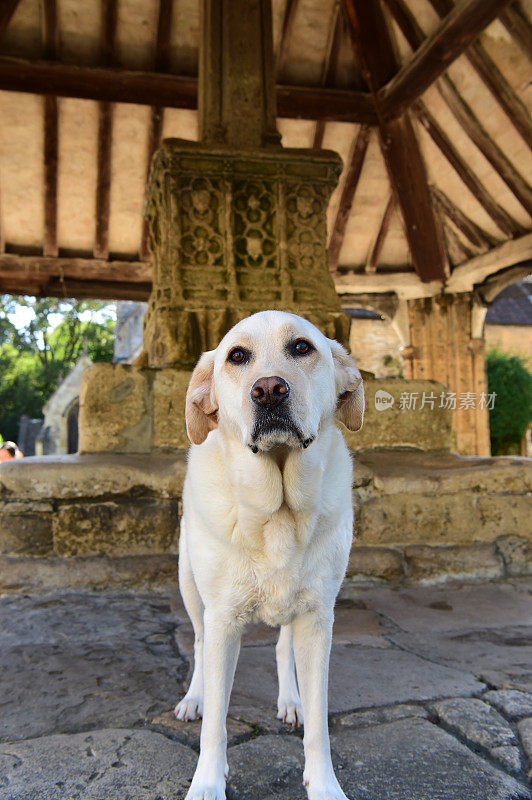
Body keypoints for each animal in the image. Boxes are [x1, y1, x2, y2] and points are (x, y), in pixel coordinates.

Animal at [177, 310, 364, 796]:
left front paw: (324, 785)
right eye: (236, 356)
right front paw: (207, 782)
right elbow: (216, 725)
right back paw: (193, 698)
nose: (268, 389)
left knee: (282, 647)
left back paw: (290, 700)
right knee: (199, 643)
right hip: (190, 587)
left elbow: (319, 723)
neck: (277, 510)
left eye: (302, 347)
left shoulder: (318, 618)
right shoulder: (222, 619)